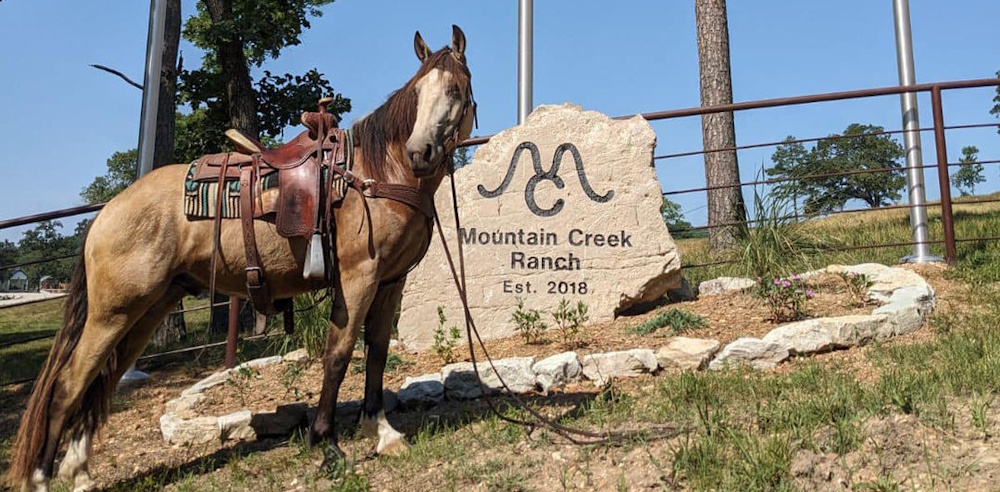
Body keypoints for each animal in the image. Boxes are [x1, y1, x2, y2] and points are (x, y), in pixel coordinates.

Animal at [8, 25, 475, 492]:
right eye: (417, 93)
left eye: (454, 89)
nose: (420, 153)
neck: (375, 176)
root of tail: (107, 212)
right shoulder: (358, 277)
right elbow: (338, 354)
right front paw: (327, 445)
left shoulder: (391, 281)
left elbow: (376, 350)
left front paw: (382, 432)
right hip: (113, 312)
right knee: (68, 385)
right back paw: (42, 477)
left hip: (145, 310)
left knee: (101, 380)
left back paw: (80, 471)